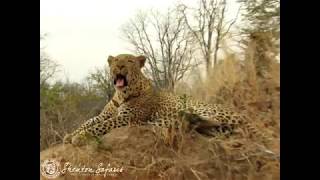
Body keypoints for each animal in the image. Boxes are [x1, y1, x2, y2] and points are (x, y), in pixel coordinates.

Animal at [63, 53, 270, 146]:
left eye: (129, 61)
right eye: (114, 62)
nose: (119, 67)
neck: (121, 94)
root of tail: (241, 114)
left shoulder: (128, 118)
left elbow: (101, 126)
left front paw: (79, 137)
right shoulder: (106, 114)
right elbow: (89, 121)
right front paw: (70, 134)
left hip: (208, 110)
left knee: (231, 127)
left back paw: (188, 119)